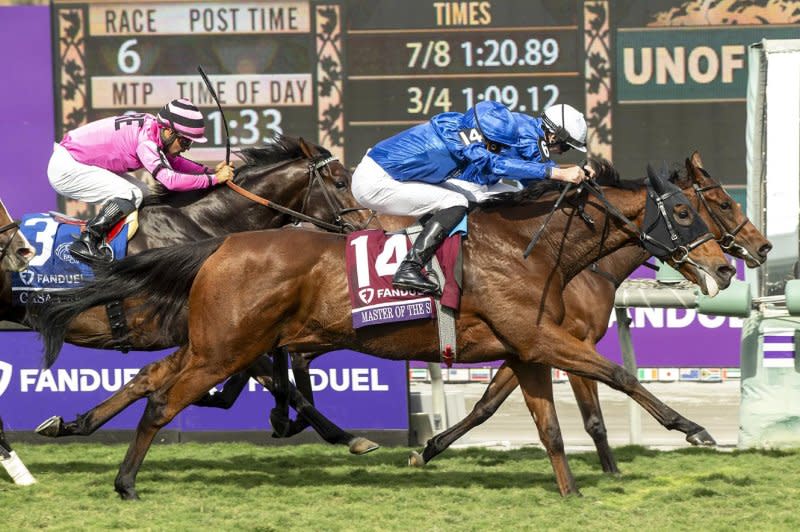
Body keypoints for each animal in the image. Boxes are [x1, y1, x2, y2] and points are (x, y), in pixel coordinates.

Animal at [31, 164, 736, 496]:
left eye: (702, 207)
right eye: (684, 210)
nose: (729, 265)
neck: (528, 246)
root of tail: (220, 246)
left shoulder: (527, 348)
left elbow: (550, 428)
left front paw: (572, 492)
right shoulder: (543, 339)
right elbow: (618, 374)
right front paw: (694, 430)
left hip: (219, 342)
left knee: (158, 378)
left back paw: (78, 428)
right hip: (225, 344)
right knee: (161, 401)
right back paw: (125, 481)